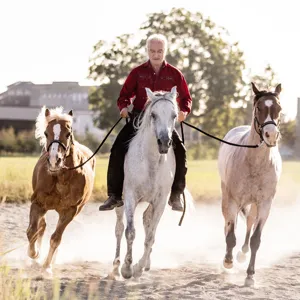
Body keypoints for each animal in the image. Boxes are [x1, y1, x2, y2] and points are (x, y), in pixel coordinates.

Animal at [26, 106, 95, 274]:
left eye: (68, 134)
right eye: (46, 133)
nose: (54, 161)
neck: (61, 177)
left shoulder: (69, 211)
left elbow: (56, 238)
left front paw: (47, 266)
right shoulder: (38, 203)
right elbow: (32, 232)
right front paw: (35, 255)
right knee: (42, 227)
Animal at [110, 86, 184, 278]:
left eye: (174, 115)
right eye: (153, 115)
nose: (164, 142)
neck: (151, 161)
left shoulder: (160, 201)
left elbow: (151, 235)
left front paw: (138, 267)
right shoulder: (130, 196)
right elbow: (130, 232)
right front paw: (127, 268)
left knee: (146, 221)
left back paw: (146, 263)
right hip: (119, 202)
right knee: (119, 228)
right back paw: (116, 265)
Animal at [218, 82, 282, 286]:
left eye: (279, 108)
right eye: (259, 108)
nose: (271, 135)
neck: (255, 163)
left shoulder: (264, 204)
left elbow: (255, 239)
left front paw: (250, 275)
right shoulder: (232, 200)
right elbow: (231, 235)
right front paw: (228, 261)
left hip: (253, 204)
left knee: (249, 222)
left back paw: (243, 253)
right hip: (227, 198)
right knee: (228, 224)